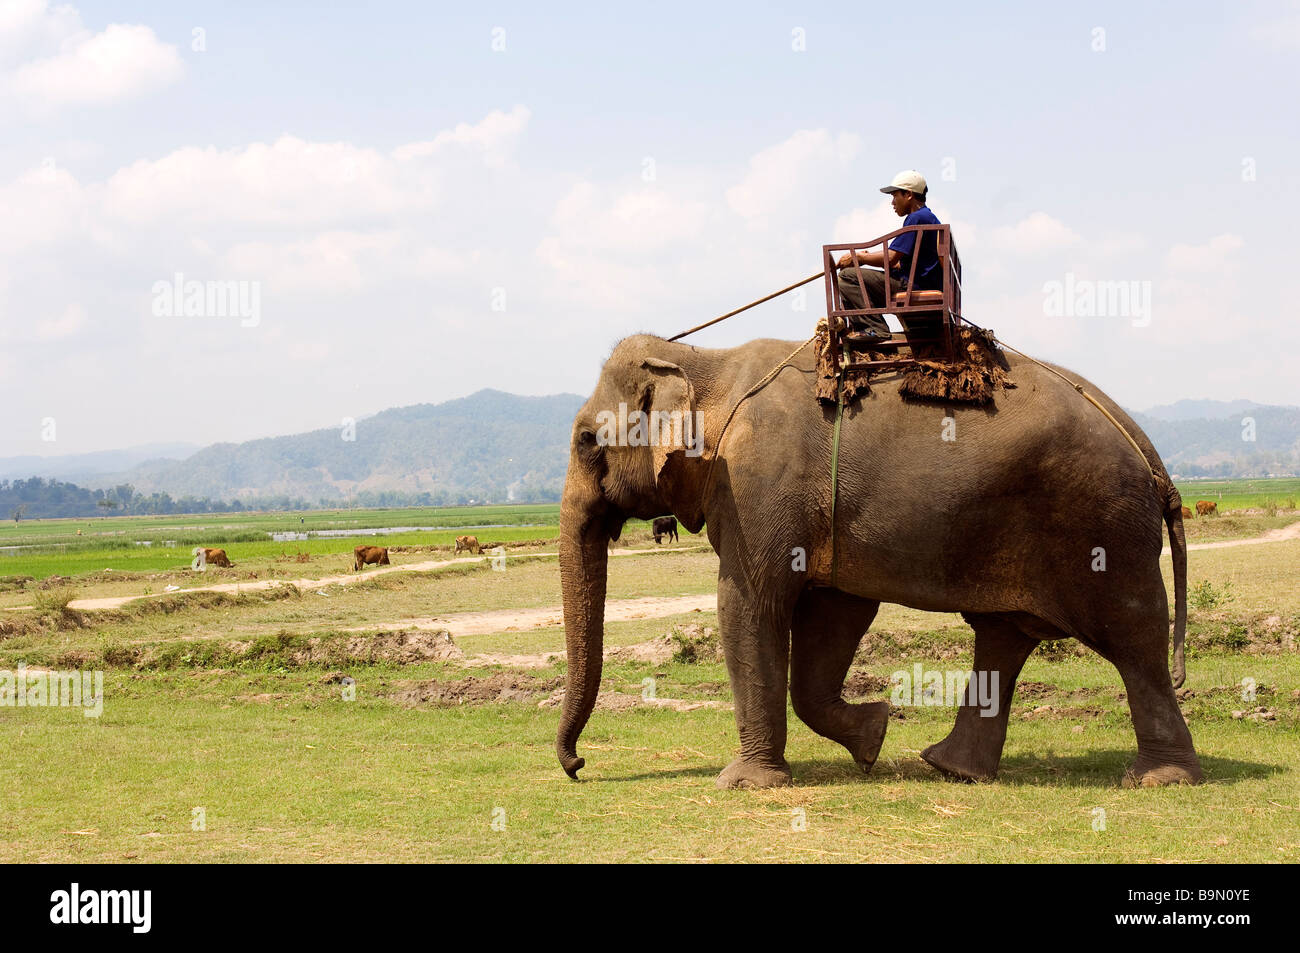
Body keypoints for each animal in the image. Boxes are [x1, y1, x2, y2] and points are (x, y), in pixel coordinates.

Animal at [553, 335, 1201, 790]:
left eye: (586, 440)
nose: (578, 765)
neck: (706, 361)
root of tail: (1152, 457)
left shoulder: (757, 487)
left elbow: (749, 603)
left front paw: (744, 784)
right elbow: (834, 615)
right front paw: (873, 737)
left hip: (1102, 528)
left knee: (1132, 637)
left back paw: (1158, 779)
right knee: (1003, 636)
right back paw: (952, 769)